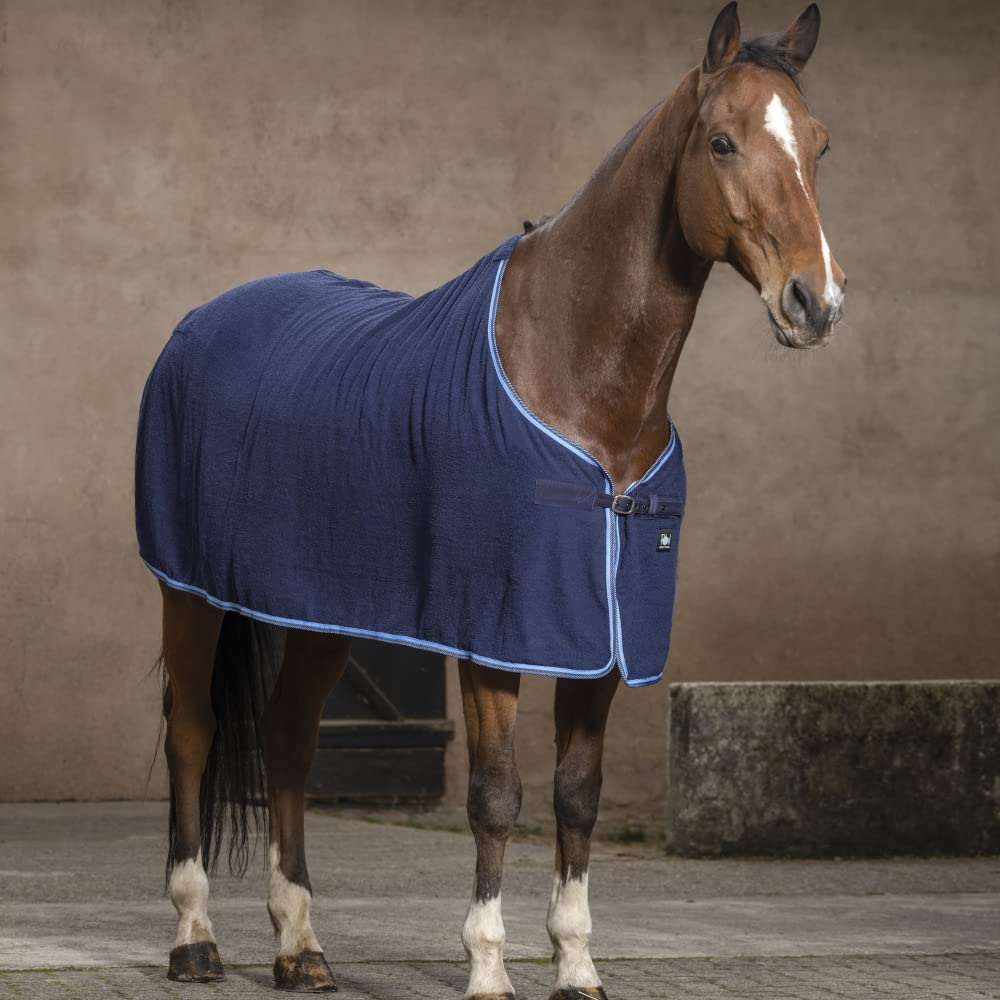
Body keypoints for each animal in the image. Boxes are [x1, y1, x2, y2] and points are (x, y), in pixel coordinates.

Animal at [137, 3, 844, 997]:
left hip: (323, 615)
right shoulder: (493, 635)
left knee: (288, 738)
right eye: (722, 141)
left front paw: (577, 964)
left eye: (819, 144)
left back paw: (299, 945)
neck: (574, 372)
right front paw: (487, 967)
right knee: (195, 733)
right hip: (190, 595)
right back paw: (195, 936)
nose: (816, 302)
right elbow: (496, 795)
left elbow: (576, 797)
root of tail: (200, 322)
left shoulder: (605, 639)